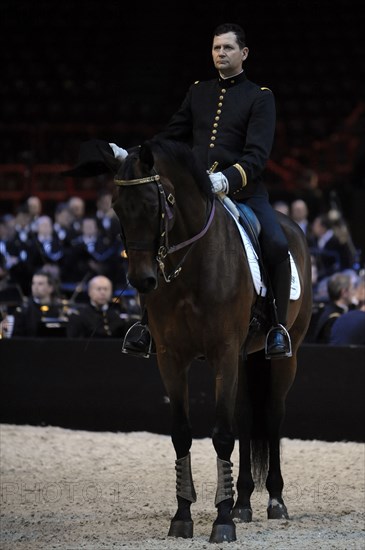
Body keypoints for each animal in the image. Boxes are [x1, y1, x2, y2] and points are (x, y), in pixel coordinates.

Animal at [106, 137, 308, 544]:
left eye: (153, 204)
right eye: (117, 208)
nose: (142, 280)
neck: (191, 265)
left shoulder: (224, 353)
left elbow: (222, 436)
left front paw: (223, 521)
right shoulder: (170, 358)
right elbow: (182, 434)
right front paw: (183, 516)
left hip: (285, 353)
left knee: (272, 416)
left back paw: (274, 501)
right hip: (246, 358)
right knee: (246, 417)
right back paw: (243, 501)